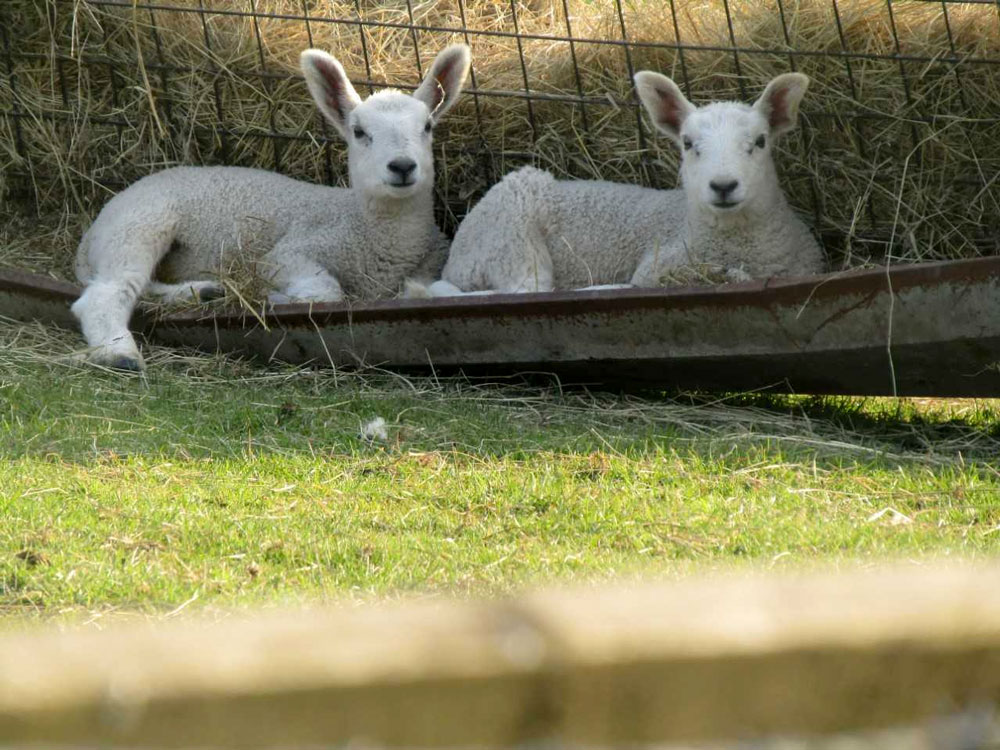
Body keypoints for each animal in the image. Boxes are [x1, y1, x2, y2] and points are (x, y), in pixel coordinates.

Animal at [71, 44, 471, 370]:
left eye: (427, 126)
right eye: (359, 132)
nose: (402, 166)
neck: (371, 230)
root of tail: (89, 236)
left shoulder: (430, 265)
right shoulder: (287, 254)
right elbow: (327, 290)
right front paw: (275, 297)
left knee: (140, 285)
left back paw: (202, 292)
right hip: (140, 224)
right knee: (106, 294)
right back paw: (119, 353)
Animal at [419, 71, 824, 297]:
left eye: (760, 142)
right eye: (688, 144)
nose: (723, 185)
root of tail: (457, 253)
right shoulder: (657, 265)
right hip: (511, 237)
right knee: (522, 291)